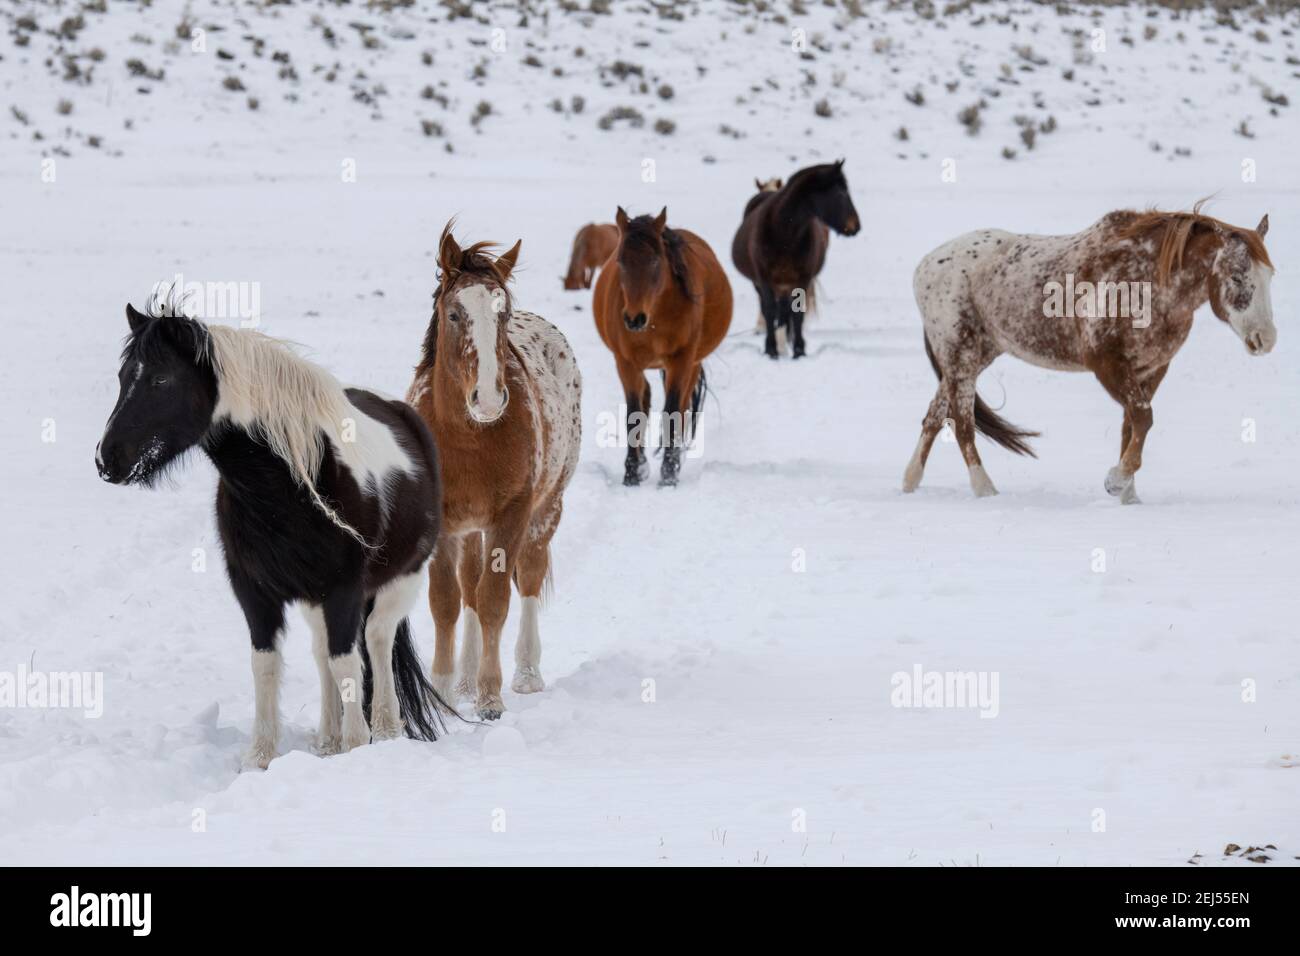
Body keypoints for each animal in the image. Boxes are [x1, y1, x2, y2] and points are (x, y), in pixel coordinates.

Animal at [95, 296, 452, 769]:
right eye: (122, 377)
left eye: (161, 378)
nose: (107, 460)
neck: (289, 483)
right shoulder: (255, 591)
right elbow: (267, 664)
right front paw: (260, 758)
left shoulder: (344, 590)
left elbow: (348, 664)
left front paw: (358, 746)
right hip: (316, 599)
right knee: (324, 651)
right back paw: (328, 741)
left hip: (400, 581)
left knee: (377, 640)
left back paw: (387, 731)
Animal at [407, 223, 582, 720]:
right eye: (453, 314)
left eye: (503, 315)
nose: (487, 398)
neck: (468, 438)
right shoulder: (445, 523)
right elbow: (447, 602)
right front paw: (446, 692)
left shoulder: (511, 515)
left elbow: (494, 600)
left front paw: (490, 697)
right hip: (471, 529)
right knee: (468, 584)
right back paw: (465, 677)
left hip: (546, 510)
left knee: (529, 576)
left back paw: (525, 673)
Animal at [593, 206, 733, 487]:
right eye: (620, 261)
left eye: (655, 262)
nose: (634, 319)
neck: (655, 316)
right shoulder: (625, 362)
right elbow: (634, 414)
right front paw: (632, 474)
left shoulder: (681, 360)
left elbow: (672, 413)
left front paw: (668, 476)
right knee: (645, 397)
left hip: (692, 364)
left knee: (682, 409)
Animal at [731, 160, 861, 359]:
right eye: (841, 193)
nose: (856, 225)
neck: (784, 232)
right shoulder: (764, 279)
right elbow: (770, 311)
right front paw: (771, 349)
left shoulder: (802, 279)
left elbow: (797, 313)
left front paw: (799, 350)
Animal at [903, 205, 1276, 503]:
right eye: (1237, 276)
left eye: (1270, 276)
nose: (1266, 339)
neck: (1146, 279)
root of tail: (924, 265)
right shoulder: (1107, 365)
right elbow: (1143, 417)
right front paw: (1117, 481)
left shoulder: (1151, 368)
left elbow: (1131, 426)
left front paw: (1128, 495)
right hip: (960, 355)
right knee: (962, 423)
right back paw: (984, 490)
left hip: (975, 357)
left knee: (935, 416)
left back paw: (910, 482)